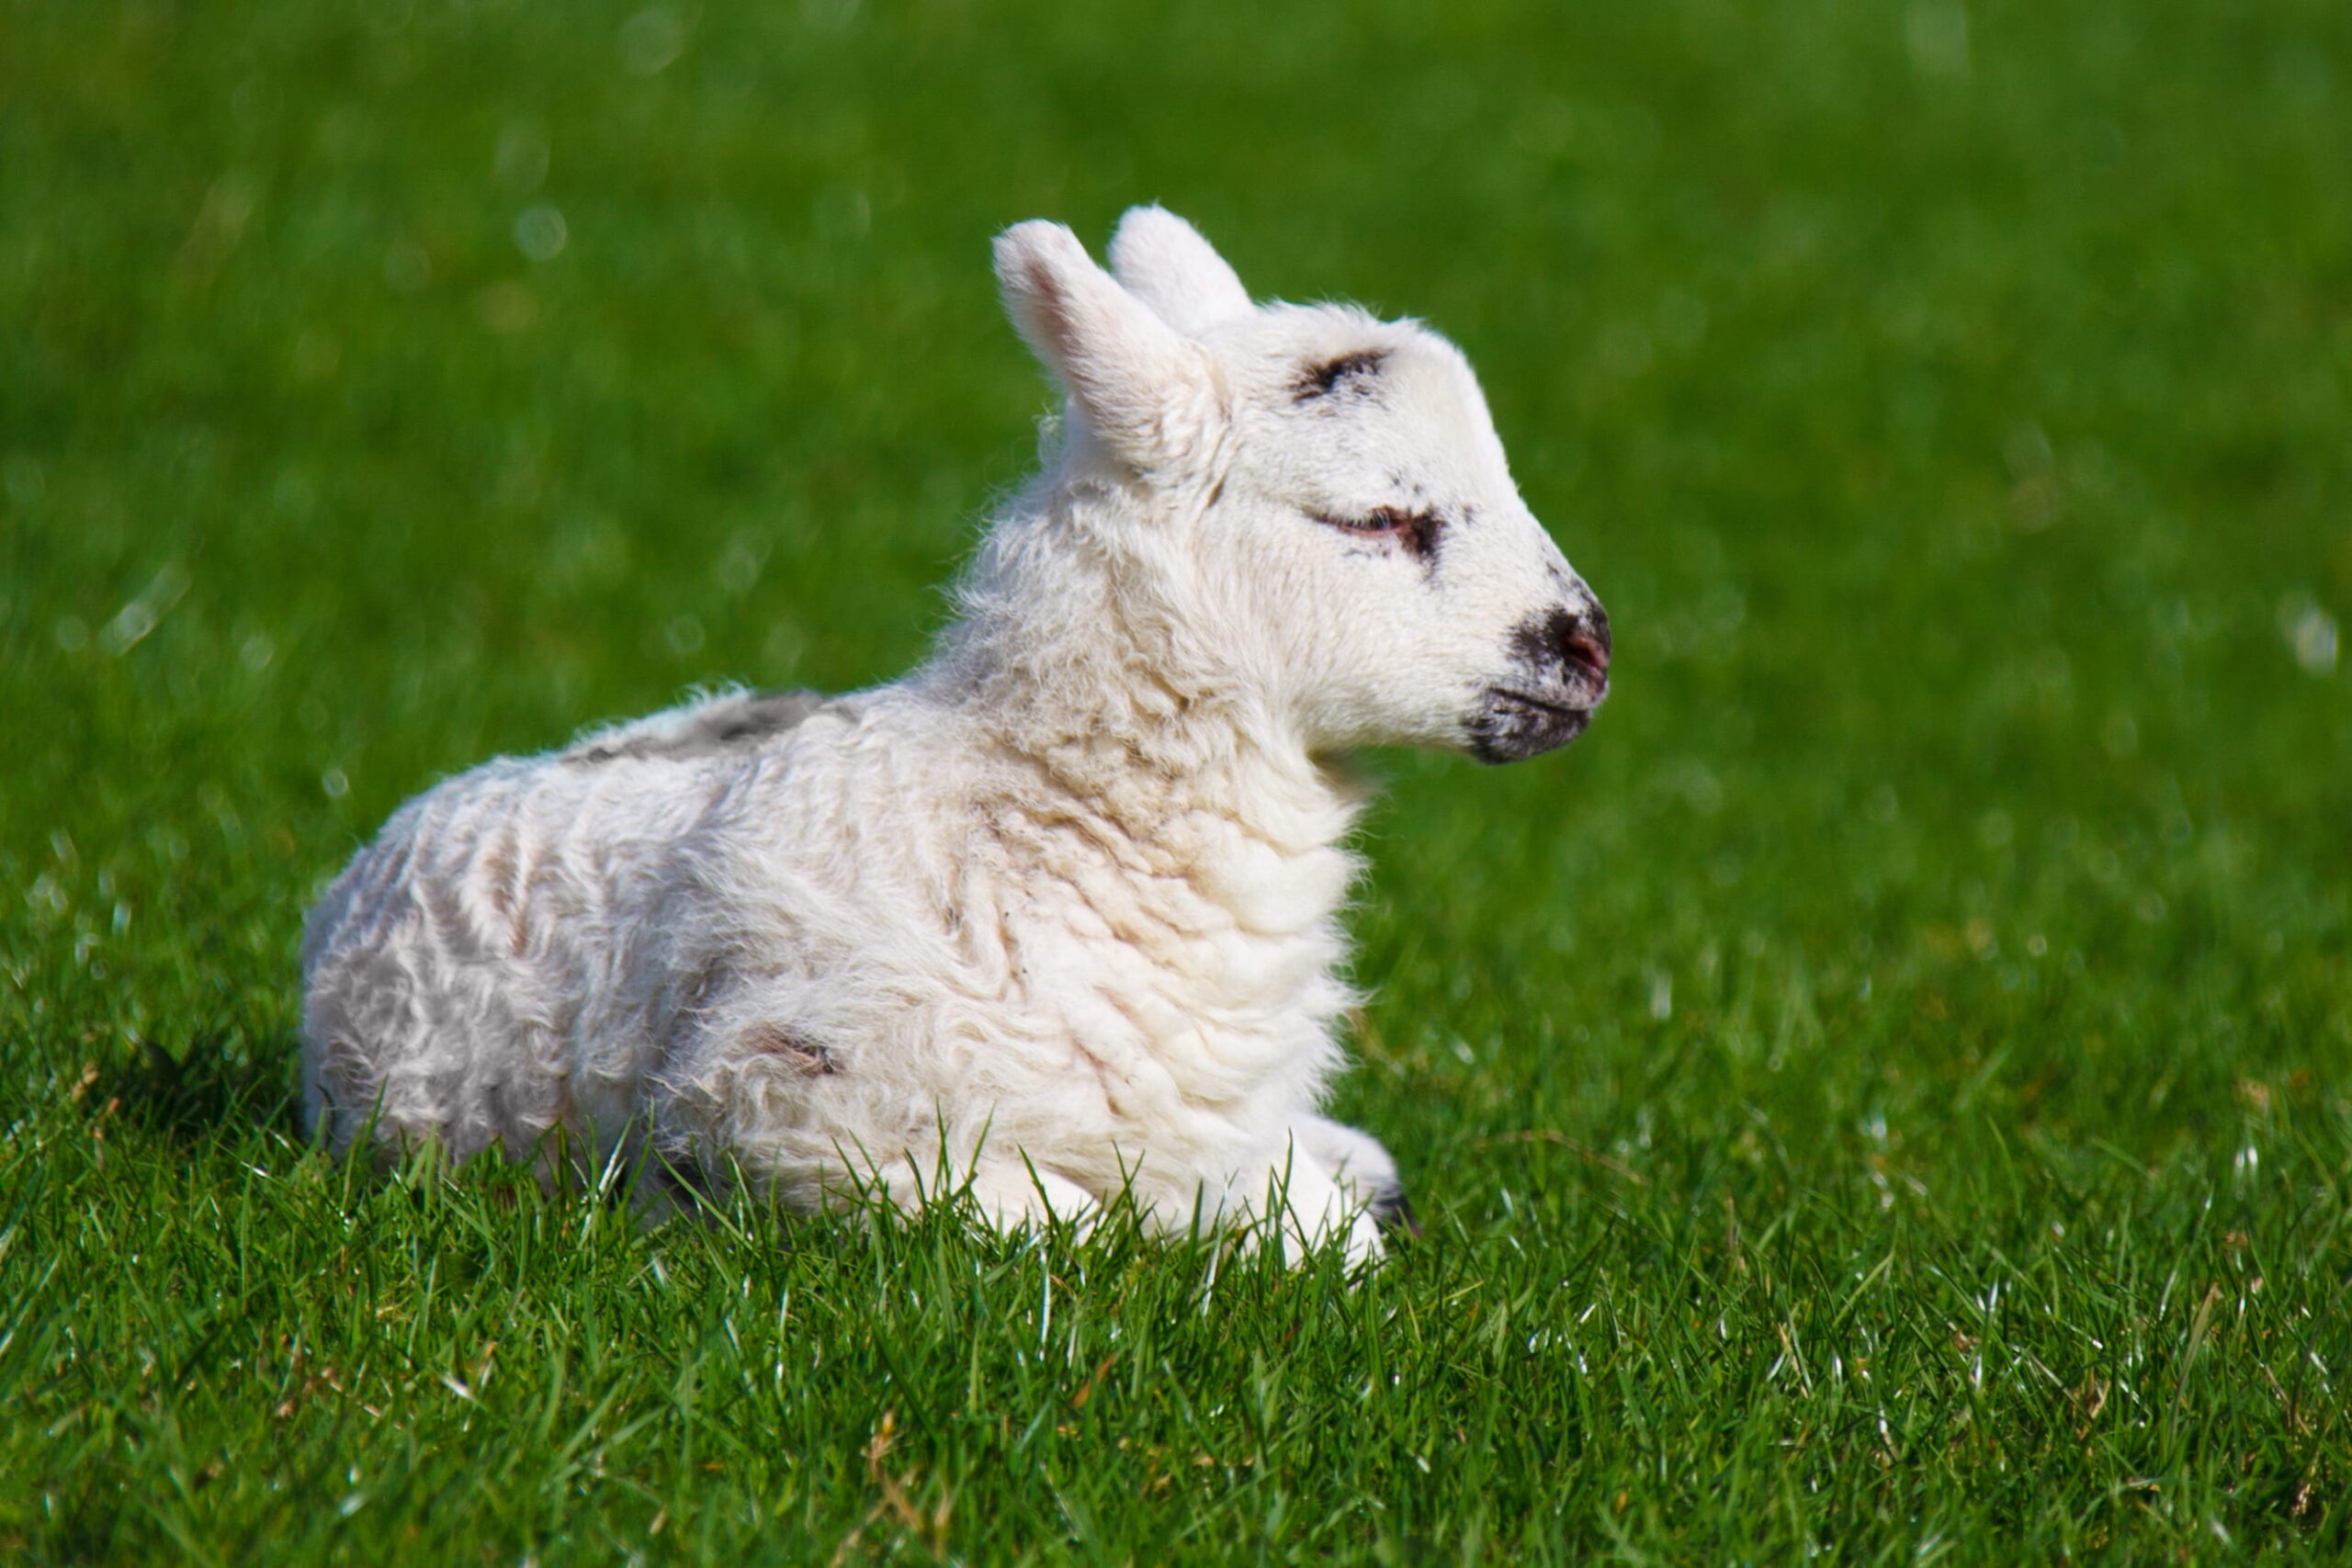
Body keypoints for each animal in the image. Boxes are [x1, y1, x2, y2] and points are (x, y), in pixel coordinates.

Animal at [300, 206, 1611, 1266]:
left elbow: (1310, 1226)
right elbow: (1060, 1224)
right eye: (1380, 519)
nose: (1590, 647)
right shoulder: (779, 1114)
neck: (1047, 819)